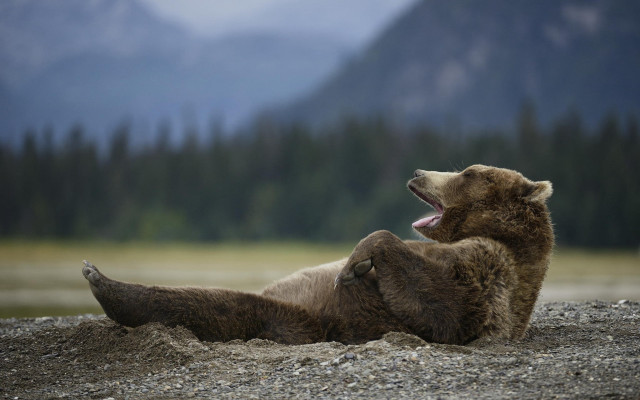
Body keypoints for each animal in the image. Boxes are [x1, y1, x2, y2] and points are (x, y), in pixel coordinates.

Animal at [82, 164, 554, 345]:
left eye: (468, 172)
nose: (419, 172)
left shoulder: (489, 274)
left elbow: (440, 305)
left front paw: (354, 262)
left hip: (304, 315)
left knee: (222, 304)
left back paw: (102, 280)